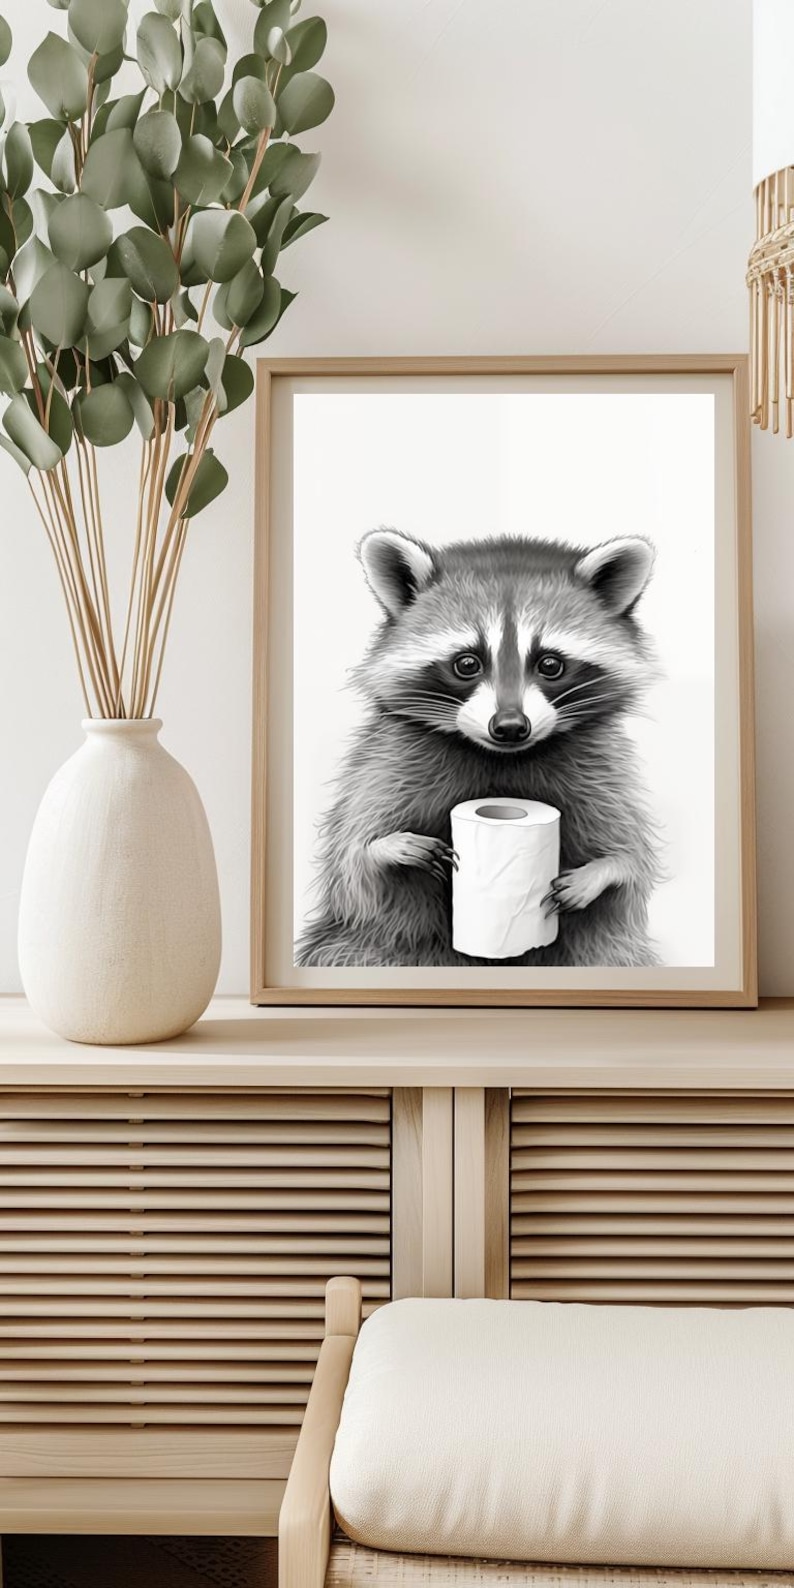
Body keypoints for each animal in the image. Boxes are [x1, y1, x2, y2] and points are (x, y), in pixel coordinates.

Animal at [296, 530, 661, 968]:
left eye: (550, 664)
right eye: (467, 663)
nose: (510, 727)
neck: (502, 758)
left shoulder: (602, 771)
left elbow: (631, 863)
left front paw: (601, 873)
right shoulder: (384, 764)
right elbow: (354, 868)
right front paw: (389, 847)